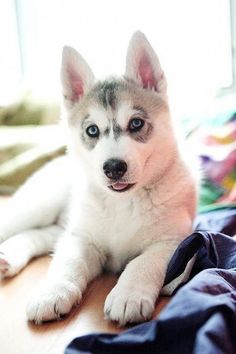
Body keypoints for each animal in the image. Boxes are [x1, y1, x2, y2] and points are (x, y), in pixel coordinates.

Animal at [0, 31, 196, 324]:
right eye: (92, 130)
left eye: (136, 123)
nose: (114, 167)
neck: (124, 202)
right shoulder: (82, 238)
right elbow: (69, 262)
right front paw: (52, 292)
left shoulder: (173, 240)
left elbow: (143, 263)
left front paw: (129, 294)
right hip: (38, 206)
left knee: (41, 235)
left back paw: (8, 256)